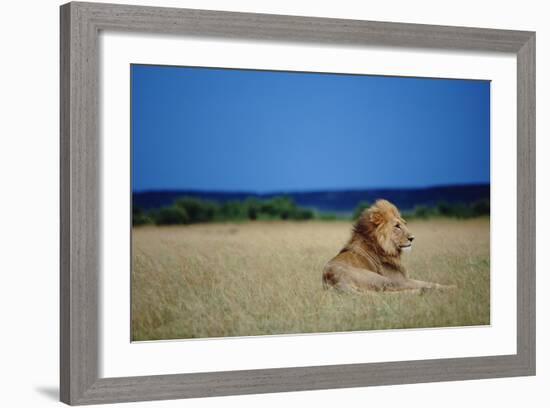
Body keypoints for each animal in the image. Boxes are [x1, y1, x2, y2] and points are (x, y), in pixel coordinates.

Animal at [324, 198, 458, 292]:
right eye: (397, 226)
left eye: (404, 224)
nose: (412, 238)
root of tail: (332, 279)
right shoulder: (401, 280)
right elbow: (429, 283)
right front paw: (453, 286)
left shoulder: (404, 279)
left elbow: (427, 281)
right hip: (383, 280)